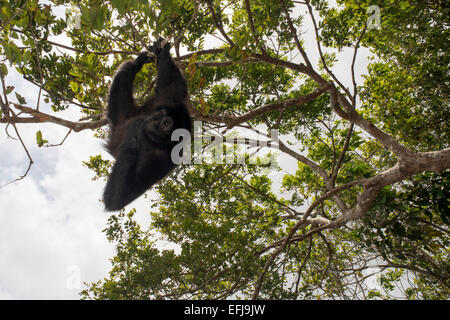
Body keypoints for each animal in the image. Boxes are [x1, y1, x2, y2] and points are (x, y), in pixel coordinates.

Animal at [103, 37, 192, 211]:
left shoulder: (164, 159)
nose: (154, 120)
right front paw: (162, 53)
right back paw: (134, 65)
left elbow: (117, 199)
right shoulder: (169, 100)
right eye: (161, 113)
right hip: (124, 115)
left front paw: (136, 134)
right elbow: (174, 85)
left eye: (166, 123)